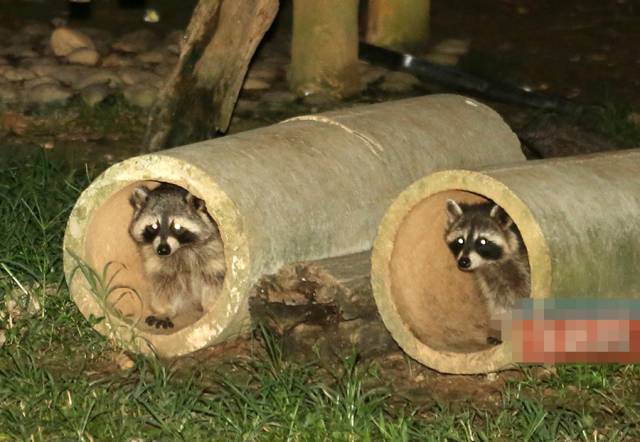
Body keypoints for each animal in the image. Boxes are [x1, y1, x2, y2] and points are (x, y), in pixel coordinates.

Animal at [127, 182, 225, 328]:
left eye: (177, 227)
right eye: (154, 226)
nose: (163, 250)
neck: (181, 248)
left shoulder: (214, 250)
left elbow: (214, 279)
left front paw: (210, 306)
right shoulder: (156, 260)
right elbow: (163, 283)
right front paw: (165, 310)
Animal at [444, 199, 528, 346]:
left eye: (482, 241)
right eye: (460, 240)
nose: (463, 262)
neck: (491, 263)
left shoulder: (522, 265)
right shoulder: (489, 279)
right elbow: (498, 301)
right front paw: (499, 327)